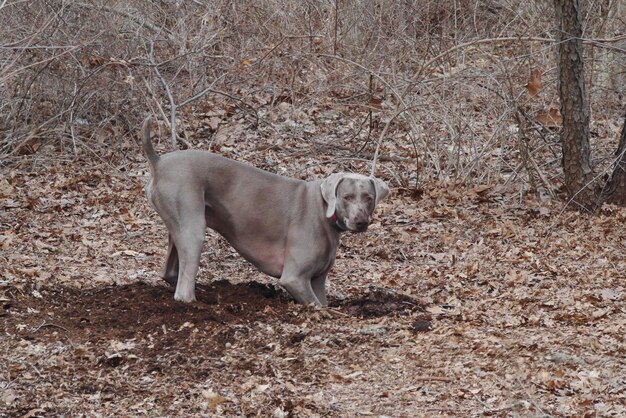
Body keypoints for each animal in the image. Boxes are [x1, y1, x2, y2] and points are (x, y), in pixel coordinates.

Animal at [142, 116, 388, 306]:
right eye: (347, 197)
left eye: (369, 198)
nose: (361, 222)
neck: (324, 212)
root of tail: (159, 161)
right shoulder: (294, 278)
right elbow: (316, 305)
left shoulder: (317, 281)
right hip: (193, 227)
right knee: (183, 289)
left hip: (179, 226)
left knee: (171, 271)